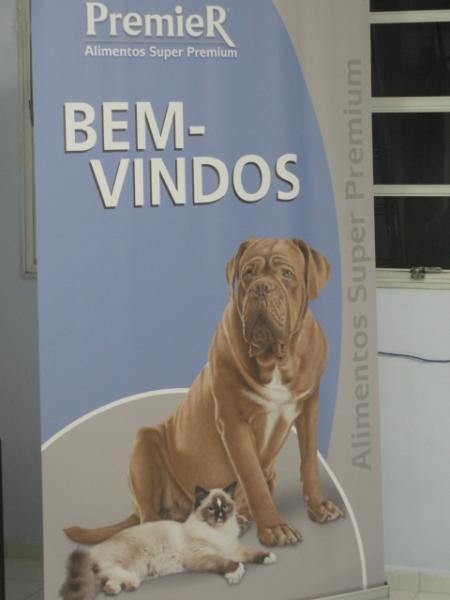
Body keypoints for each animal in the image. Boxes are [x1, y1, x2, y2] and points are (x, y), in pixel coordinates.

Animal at [60, 482, 276, 598]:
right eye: (212, 509)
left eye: (225, 506)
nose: (221, 516)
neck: (220, 532)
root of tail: (94, 549)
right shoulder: (203, 556)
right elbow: (224, 562)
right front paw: (235, 572)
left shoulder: (233, 550)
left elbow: (251, 552)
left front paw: (268, 556)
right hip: (124, 559)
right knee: (109, 570)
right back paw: (131, 583)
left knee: (105, 580)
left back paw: (116, 588)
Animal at [65, 237, 343, 548]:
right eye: (248, 274)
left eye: (286, 273)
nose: (261, 287)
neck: (275, 360)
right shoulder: (234, 424)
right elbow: (253, 479)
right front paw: (274, 528)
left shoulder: (309, 409)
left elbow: (309, 463)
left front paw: (319, 507)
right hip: (144, 444)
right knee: (148, 516)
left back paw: (238, 517)